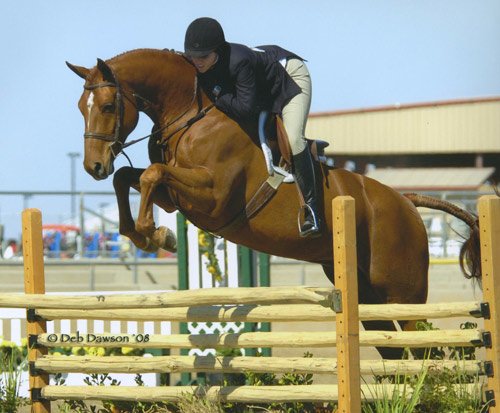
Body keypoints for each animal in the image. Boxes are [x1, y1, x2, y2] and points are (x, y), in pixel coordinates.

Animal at [66, 48, 480, 358]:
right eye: (80, 106)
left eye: (107, 106)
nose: (93, 166)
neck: (191, 116)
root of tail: (407, 202)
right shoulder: (178, 195)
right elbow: (130, 176)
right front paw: (143, 235)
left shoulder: (213, 198)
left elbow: (151, 174)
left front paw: (155, 234)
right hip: (369, 298)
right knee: (396, 353)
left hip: (403, 293)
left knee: (425, 350)